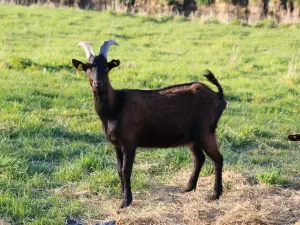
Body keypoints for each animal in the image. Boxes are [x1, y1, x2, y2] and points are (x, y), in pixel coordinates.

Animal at [72, 40, 227, 207]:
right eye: (88, 68)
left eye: (107, 68)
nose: (98, 84)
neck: (115, 107)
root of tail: (219, 97)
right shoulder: (116, 144)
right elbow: (119, 170)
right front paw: (121, 194)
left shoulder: (129, 143)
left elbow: (126, 171)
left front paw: (126, 201)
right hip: (192, 138)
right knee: (199, 158)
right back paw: (189, 188)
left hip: (206, 132)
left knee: (218, 159)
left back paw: (215, 194)